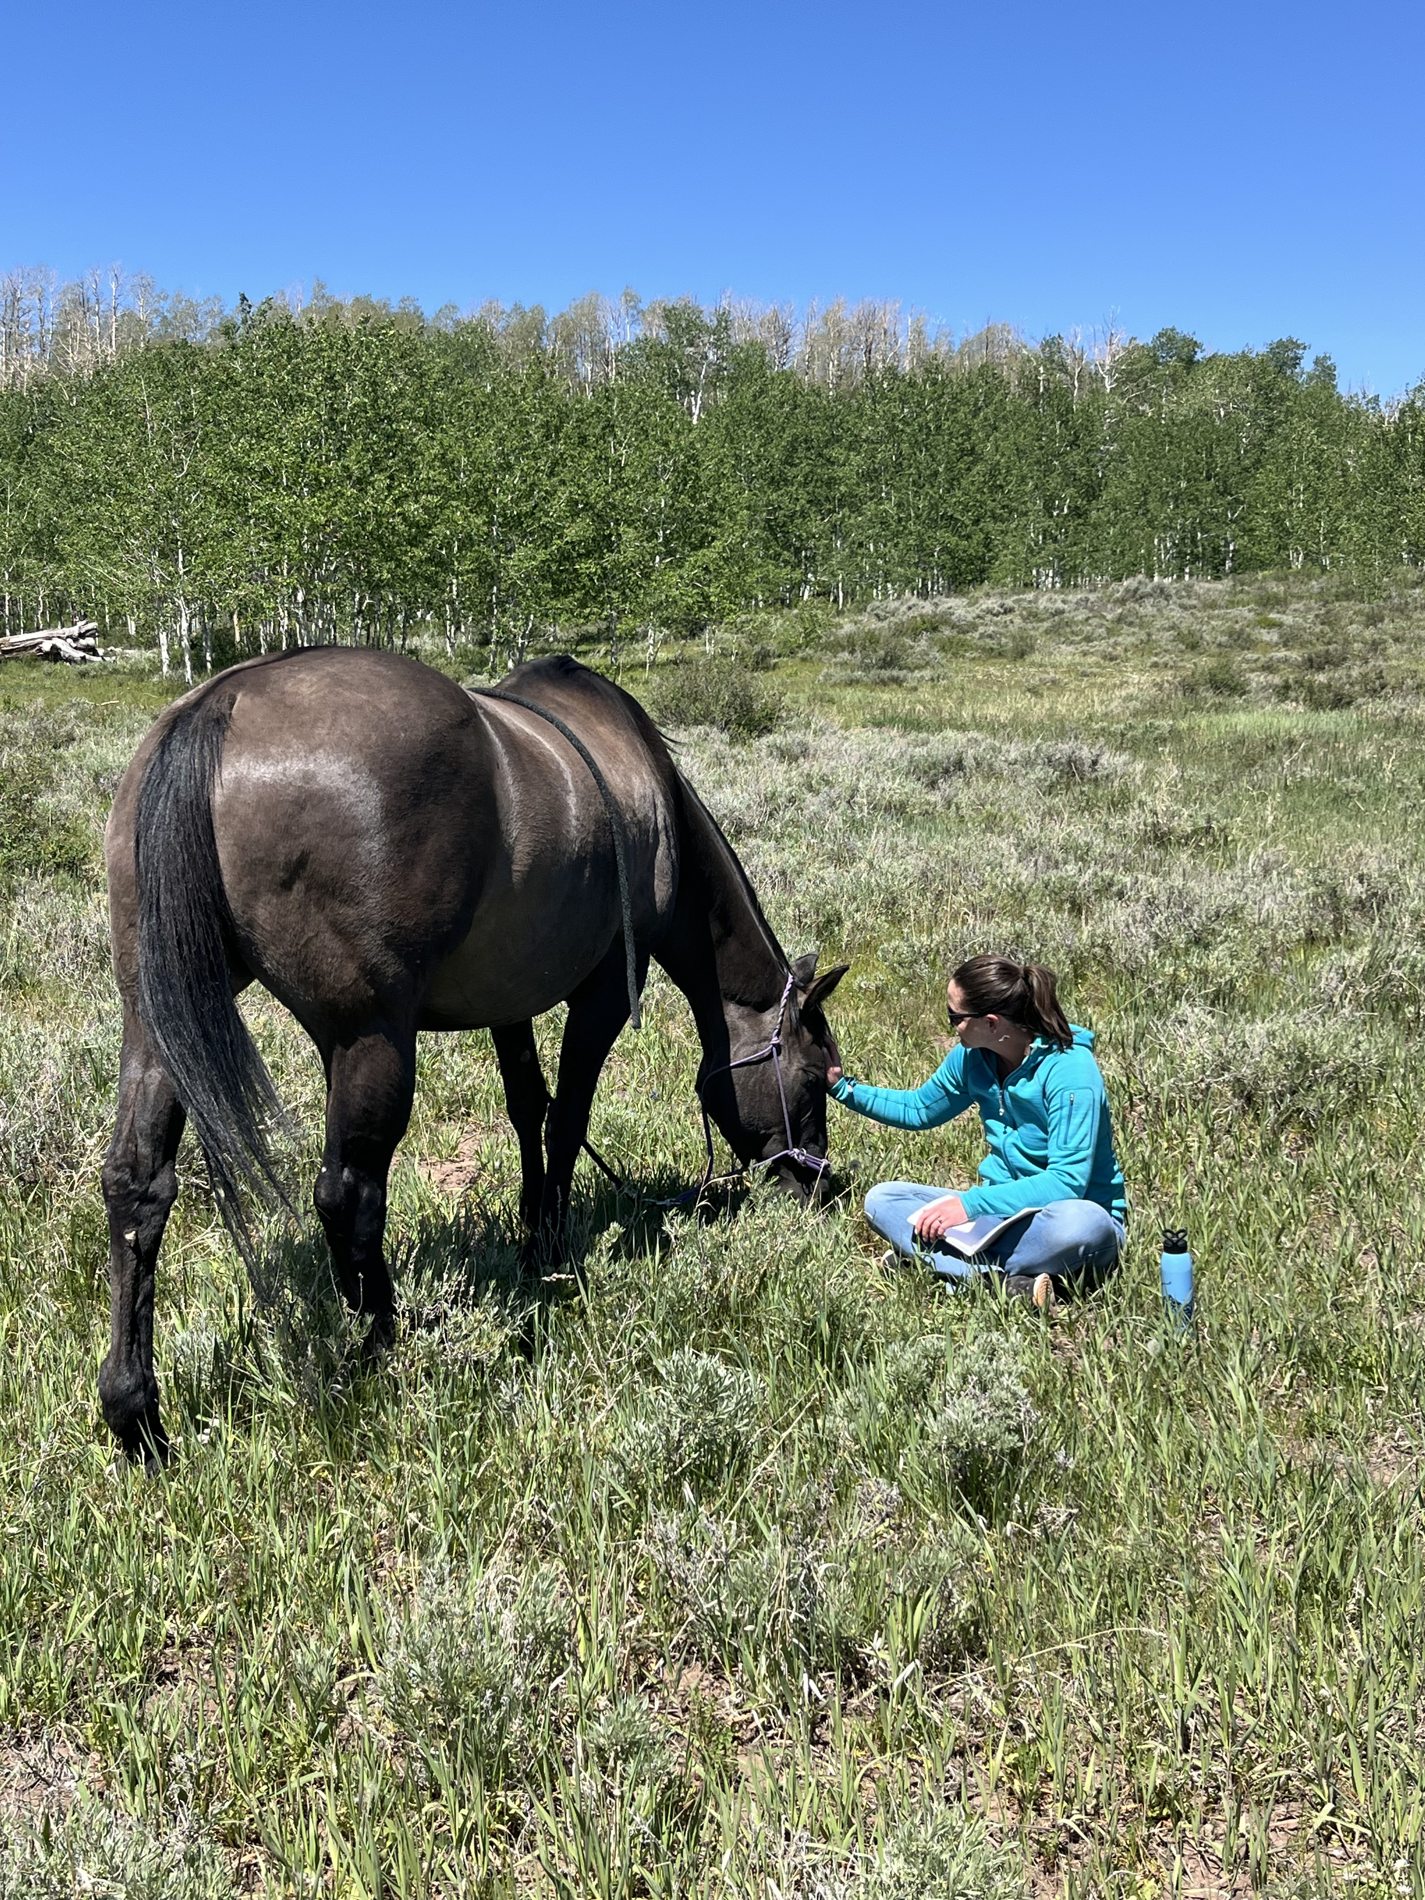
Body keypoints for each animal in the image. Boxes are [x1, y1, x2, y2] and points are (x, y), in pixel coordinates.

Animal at [100, 649, 847, 1462]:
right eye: (817, 1079)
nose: (820, 1186)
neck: (652, 797)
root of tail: (220, 704)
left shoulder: (509, 1001)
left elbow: (527, 1108)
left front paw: (527, 1232)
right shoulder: (603, 997)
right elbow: (566, 1117)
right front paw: (549, 1244)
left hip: (157, 1022)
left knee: (138, 1185)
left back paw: (136, 1415)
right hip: (368, 1039)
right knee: (348, 1192)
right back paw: (382, 1339)